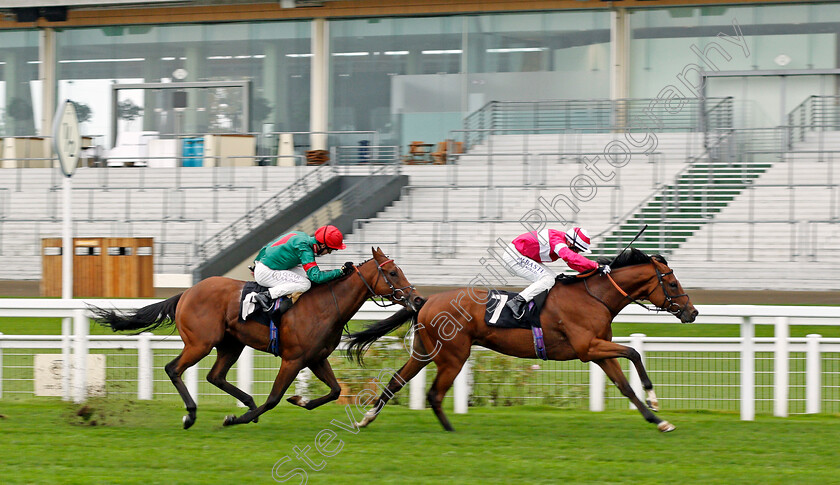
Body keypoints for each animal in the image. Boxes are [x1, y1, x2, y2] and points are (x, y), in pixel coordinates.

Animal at [92, 248, 424, 430]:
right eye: (393, 273)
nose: (417, 299)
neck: (325, 304)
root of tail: (185, 293)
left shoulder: (316, 358)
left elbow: (333, 391)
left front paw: (299, 399)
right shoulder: (293, 359)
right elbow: (274, 398)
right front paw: (236, 418)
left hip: (231, 344)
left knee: (215, 376)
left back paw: (246, 403)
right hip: (200, 343)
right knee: (174, 369)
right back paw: (192, 414)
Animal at [344, 250, 700, 432]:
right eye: (671, 282)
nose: (692, 312)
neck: (594, 297)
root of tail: (425, 300)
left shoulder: (598, 351)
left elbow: (624, 384)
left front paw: (658, 420)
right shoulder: (588, 347)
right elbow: (633, 354)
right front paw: (654, 400)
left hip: (425, 351)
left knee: (396, 380)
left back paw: (367, 418)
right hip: (453, 354)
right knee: (434, 393)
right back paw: (450, 431)